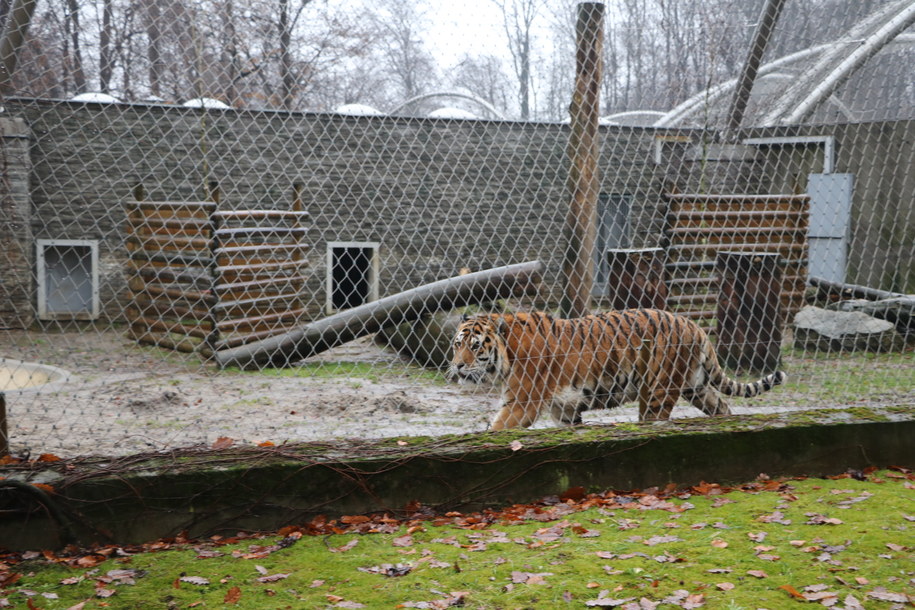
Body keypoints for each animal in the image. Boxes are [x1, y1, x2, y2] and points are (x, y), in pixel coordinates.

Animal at [450, 308, 788, 428]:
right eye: (457, 344)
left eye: (475, 346)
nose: (457, 366)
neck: (506, 353)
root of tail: (694, 325)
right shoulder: (564, 410)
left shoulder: (522, 403)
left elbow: (497, 429)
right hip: (697, 387)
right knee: (723, 409)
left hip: (658, 391)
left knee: (655, 419)